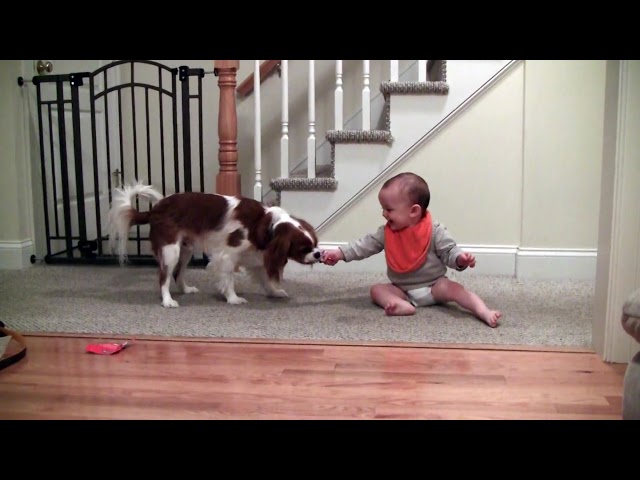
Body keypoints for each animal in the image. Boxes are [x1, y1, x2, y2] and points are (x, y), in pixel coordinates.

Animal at [108, 184, 324, 308]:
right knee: (164, 278)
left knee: (178, 274)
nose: (319, 254)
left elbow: (265, 278)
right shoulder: (227, 256)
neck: (265, 223)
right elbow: (228, 280)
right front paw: (233, 298)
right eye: (304, 249)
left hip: (185, 250)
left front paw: (274, 292)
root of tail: (153, 210)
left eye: (315, 245)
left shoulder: (257, 256)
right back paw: (167, 301)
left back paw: (185, 290)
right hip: (171, 251)